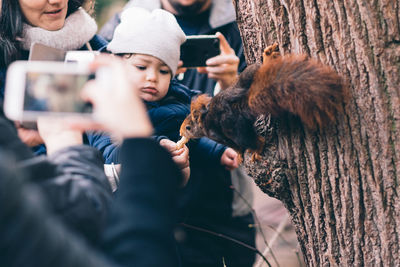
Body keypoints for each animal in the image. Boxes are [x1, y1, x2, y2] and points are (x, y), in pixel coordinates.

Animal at [180, 44, 348, 159]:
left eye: (188, 127)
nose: (180, 132)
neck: (203, 120)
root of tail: (240, 105)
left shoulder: (217, 135)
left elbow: (234, 147)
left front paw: (239, 156)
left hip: (234, 128)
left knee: (254, 141)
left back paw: (256, 150)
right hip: (245, 78)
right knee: (257, 68)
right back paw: (267, 57)